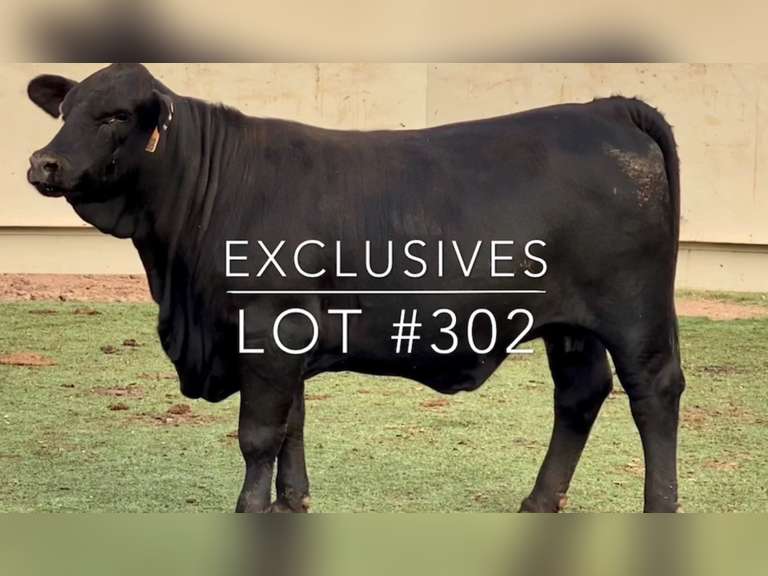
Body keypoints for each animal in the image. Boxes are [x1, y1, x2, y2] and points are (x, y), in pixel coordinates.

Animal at [26, 63, 685, 512]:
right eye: (65, 111)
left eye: (116, 115)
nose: (42, 164)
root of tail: (606, 108)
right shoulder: (288, 338)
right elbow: (293, 422)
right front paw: (292, 502)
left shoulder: (267, 328)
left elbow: (258, 434)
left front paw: (250, 508)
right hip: (571, 325)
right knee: (579, 394)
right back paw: (539, 502)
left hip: (634, 311)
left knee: (653, 394)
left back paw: (658, 507)